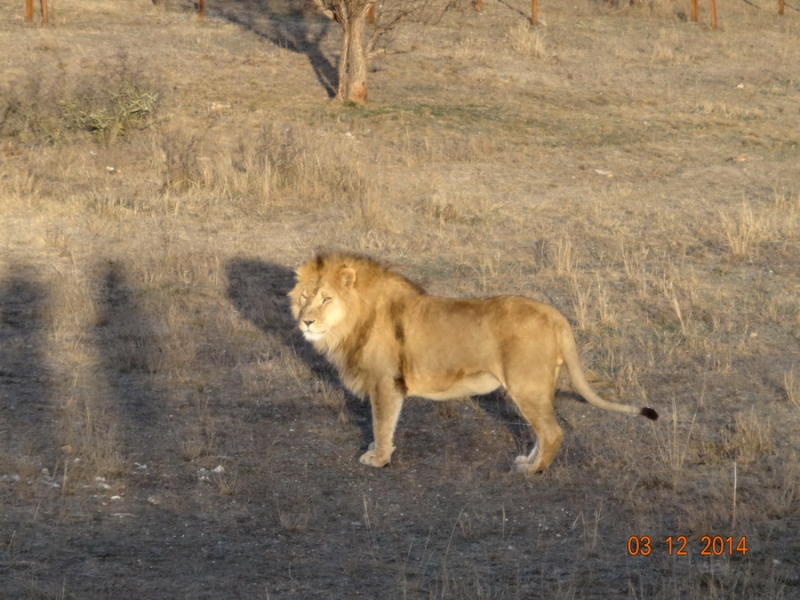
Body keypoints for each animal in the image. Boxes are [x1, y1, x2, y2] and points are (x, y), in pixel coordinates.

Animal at [288, 253, 656, 474]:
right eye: (305, 296)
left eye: (326, 299)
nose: (306, 321)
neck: (352, 321)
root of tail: (553, 313)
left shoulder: (385, 383)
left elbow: (382, 424)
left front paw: (378, 458)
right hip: (537, 386)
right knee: (542, 430)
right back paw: (527, 460)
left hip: (526, 384)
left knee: (553, 432)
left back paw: (533, 471)